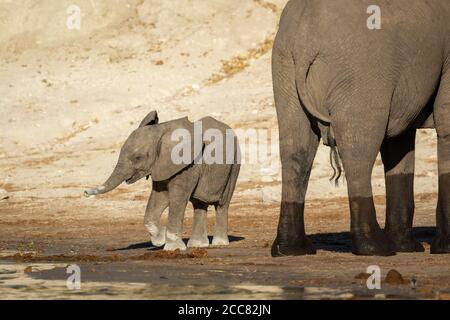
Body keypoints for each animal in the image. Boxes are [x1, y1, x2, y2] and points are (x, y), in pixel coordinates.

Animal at [84, 111, 239, 251]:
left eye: (138, 157)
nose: (85, 192)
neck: (162, 132)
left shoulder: (188, 165)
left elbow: (177, 198)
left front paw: (172, 248)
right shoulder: (161, 165)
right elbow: (159, 198)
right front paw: (159, 240)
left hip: (235, 164)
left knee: (223, 204)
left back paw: (219, 243)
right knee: (199, 203)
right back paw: (198, 245)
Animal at [270, 0, 450, 256]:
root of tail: (304, 40)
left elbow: (398, 144)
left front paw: (408, 248)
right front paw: (442, 248)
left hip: (284, 68)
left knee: (295, 150)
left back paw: (291, 249)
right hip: (361, 73)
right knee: (358, 150)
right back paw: (375, 248)